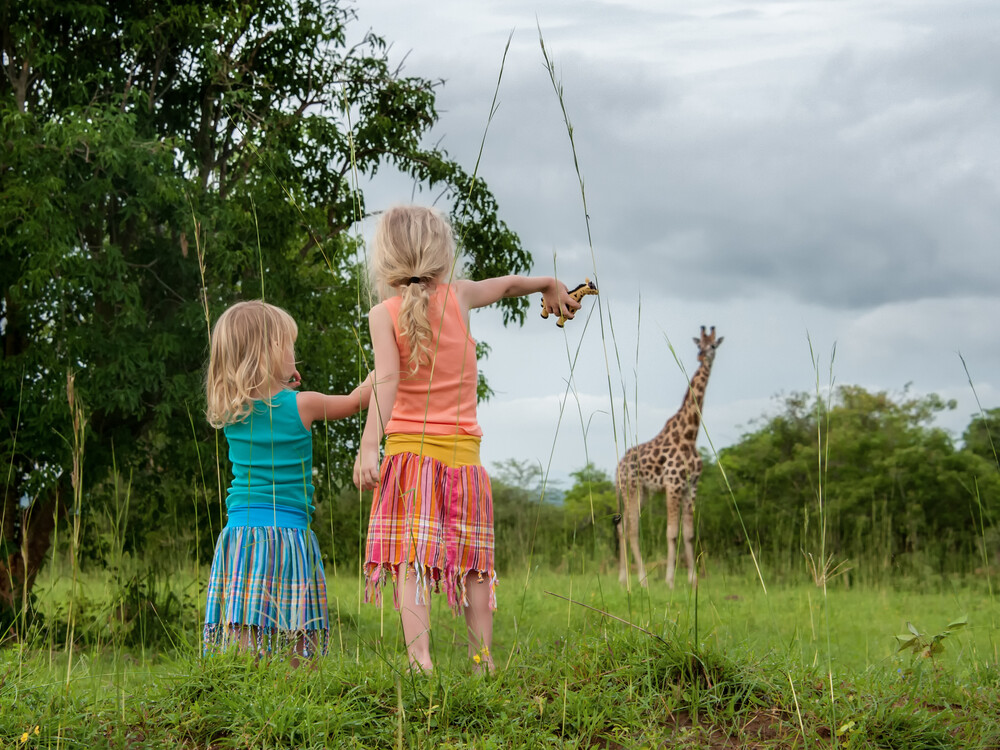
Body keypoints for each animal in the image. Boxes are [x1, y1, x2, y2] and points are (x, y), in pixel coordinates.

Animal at [615, 326, 724, 588]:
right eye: (699, 345)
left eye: (713, 345)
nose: (702, 356)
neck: (690, 435)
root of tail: (617, 467)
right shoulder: (673, 485)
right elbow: (672, 533)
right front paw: (670, 581)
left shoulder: (691, 486)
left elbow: (689, 533)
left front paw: (693, 580)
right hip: (631, 488)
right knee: (632, 529)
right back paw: (642, 579)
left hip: (642, 492)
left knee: (623, 527)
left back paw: (623, 578)